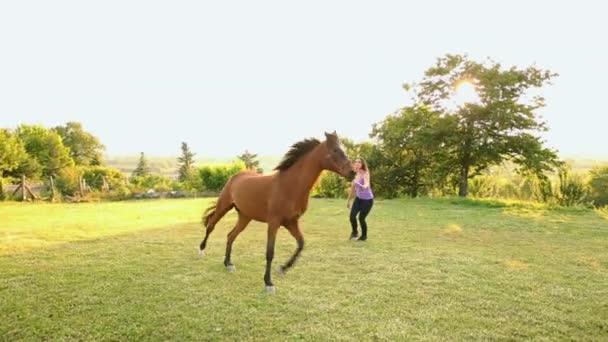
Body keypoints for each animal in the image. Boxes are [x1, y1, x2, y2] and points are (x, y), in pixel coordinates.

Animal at [198, 131, 352, 292]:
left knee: (230, 236)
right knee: (211, 225)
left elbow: (301, 244)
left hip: (245, 217)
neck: (289, 185)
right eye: (335, 150)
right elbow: (270, 252)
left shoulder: (291, 222)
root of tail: (235, 177)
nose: (352, 172)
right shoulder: (274, 223)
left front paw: (283, 268)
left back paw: (228, 263)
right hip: (223, 206)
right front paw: (268, 283)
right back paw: (202, 250)